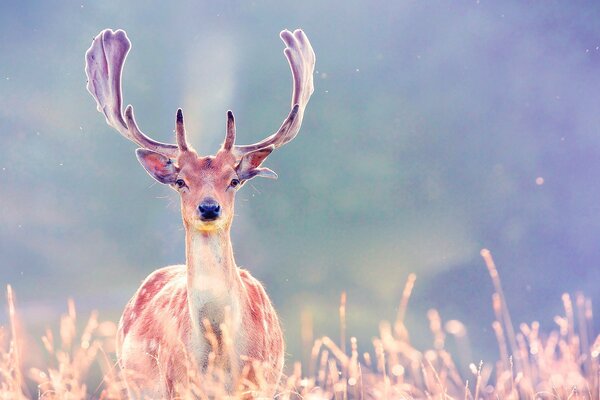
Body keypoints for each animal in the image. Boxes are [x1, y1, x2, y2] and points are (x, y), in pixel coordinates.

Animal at [85, 27, 316, 396]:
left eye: (234, 180)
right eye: (181, 181)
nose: (209, 207)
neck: (219, 351)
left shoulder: (261, 382)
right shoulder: (177, 385)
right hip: (132, 381)